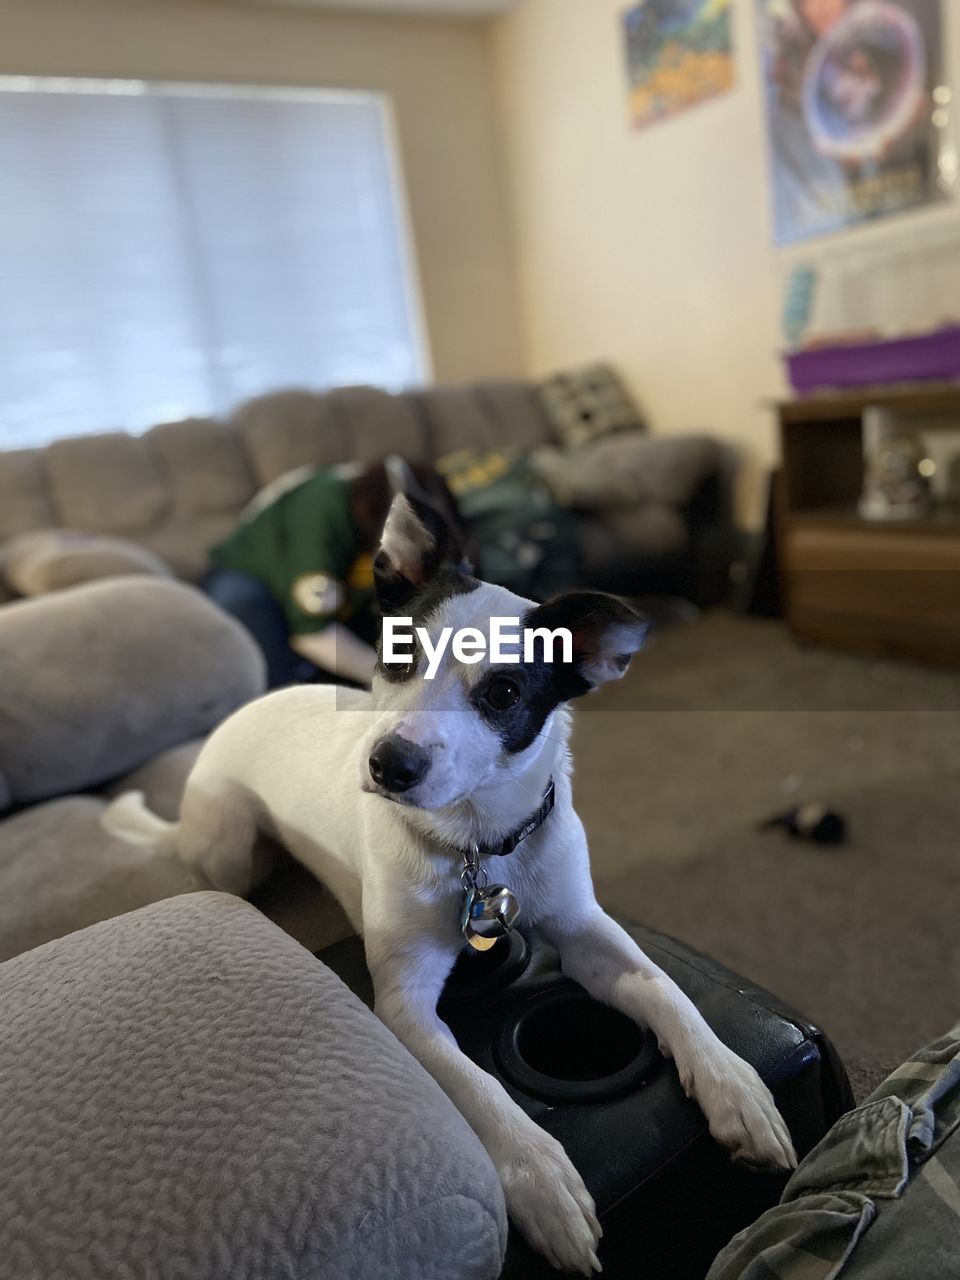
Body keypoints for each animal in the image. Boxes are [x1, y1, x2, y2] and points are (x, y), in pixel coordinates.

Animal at [103, 494, 798, 1274]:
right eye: (398, 649)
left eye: (504, 692)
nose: (389, 765)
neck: (476, 844)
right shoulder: (404, 1006)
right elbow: (477, 1084)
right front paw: (539, 1175)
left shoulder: (589, 933)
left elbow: (668, 992)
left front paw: (733, 1082)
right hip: (226, 844)